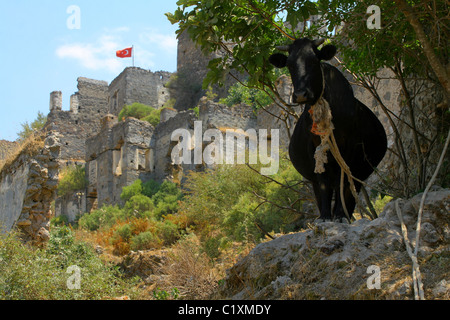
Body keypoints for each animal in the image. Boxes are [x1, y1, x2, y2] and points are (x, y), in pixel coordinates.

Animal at [268, 37, 386, 221]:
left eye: (314, 60)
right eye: (290, 65)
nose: (300, 94)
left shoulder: (349, 146)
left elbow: (341, 183)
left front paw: (340, 214)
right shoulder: (315, 147)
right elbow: (324, 183)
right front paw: (325, 216)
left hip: (360, 172)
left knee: (348, 190)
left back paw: (345, 214)